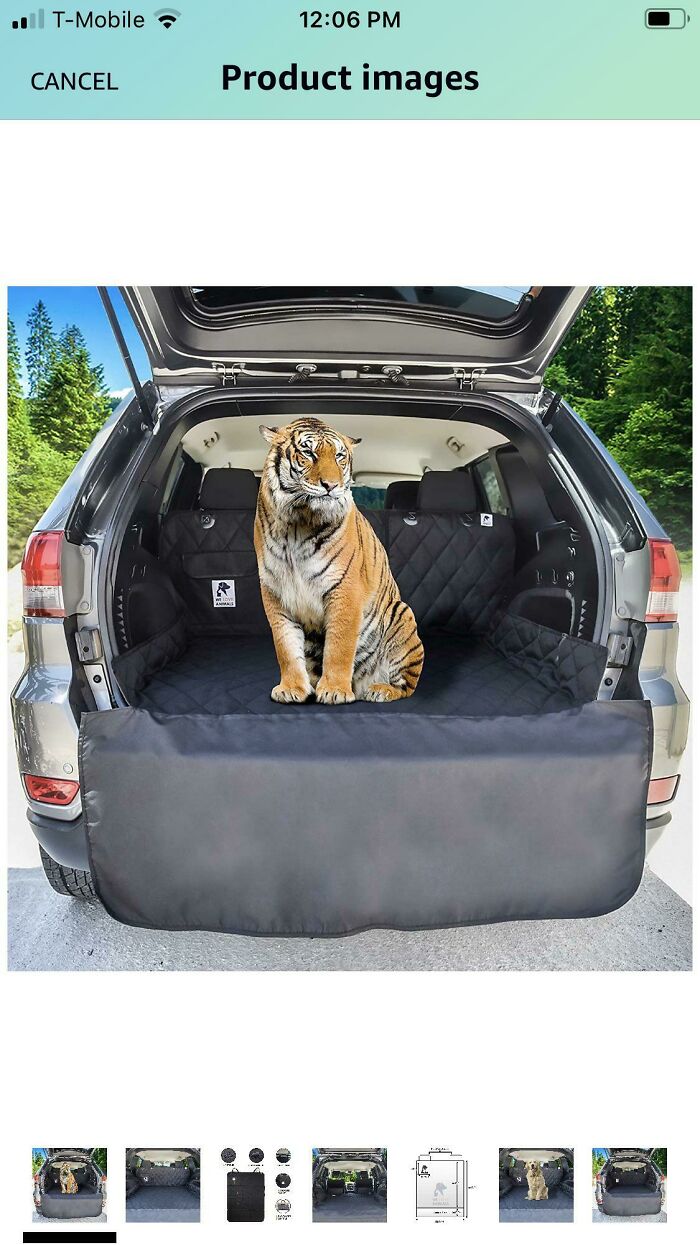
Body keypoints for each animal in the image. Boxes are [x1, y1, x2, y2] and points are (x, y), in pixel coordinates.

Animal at [254, 417, 423, 705]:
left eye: (339, 456)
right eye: (308, 453)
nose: (331, 486)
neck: (297, 523)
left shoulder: (344, 589)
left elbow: (339, 645)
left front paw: (334, 690)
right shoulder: (275, 592)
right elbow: (285, 646)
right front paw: (291, 688)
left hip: (401, 613)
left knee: (408, 686)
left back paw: (380, 690)